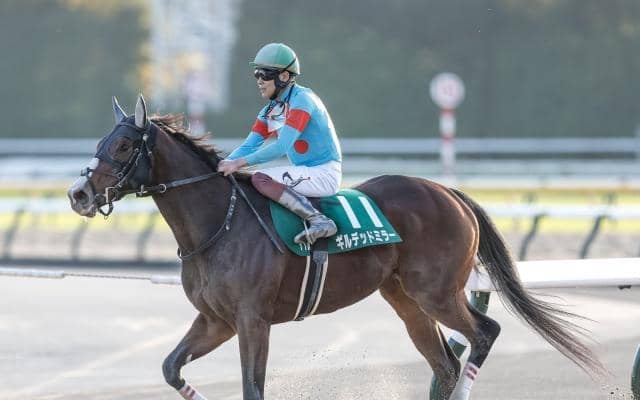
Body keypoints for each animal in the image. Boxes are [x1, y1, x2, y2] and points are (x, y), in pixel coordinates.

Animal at [67, 95, 603, 400]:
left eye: (122, 146)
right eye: (100, 142)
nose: (79, 194)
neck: (216, 223)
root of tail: (448, 192)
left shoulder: (252, 320)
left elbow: (252, 387)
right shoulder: (216, 319)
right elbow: (170, 368)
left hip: (437, 293)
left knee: (485, 334)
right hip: (406, 301)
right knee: (445, 366)